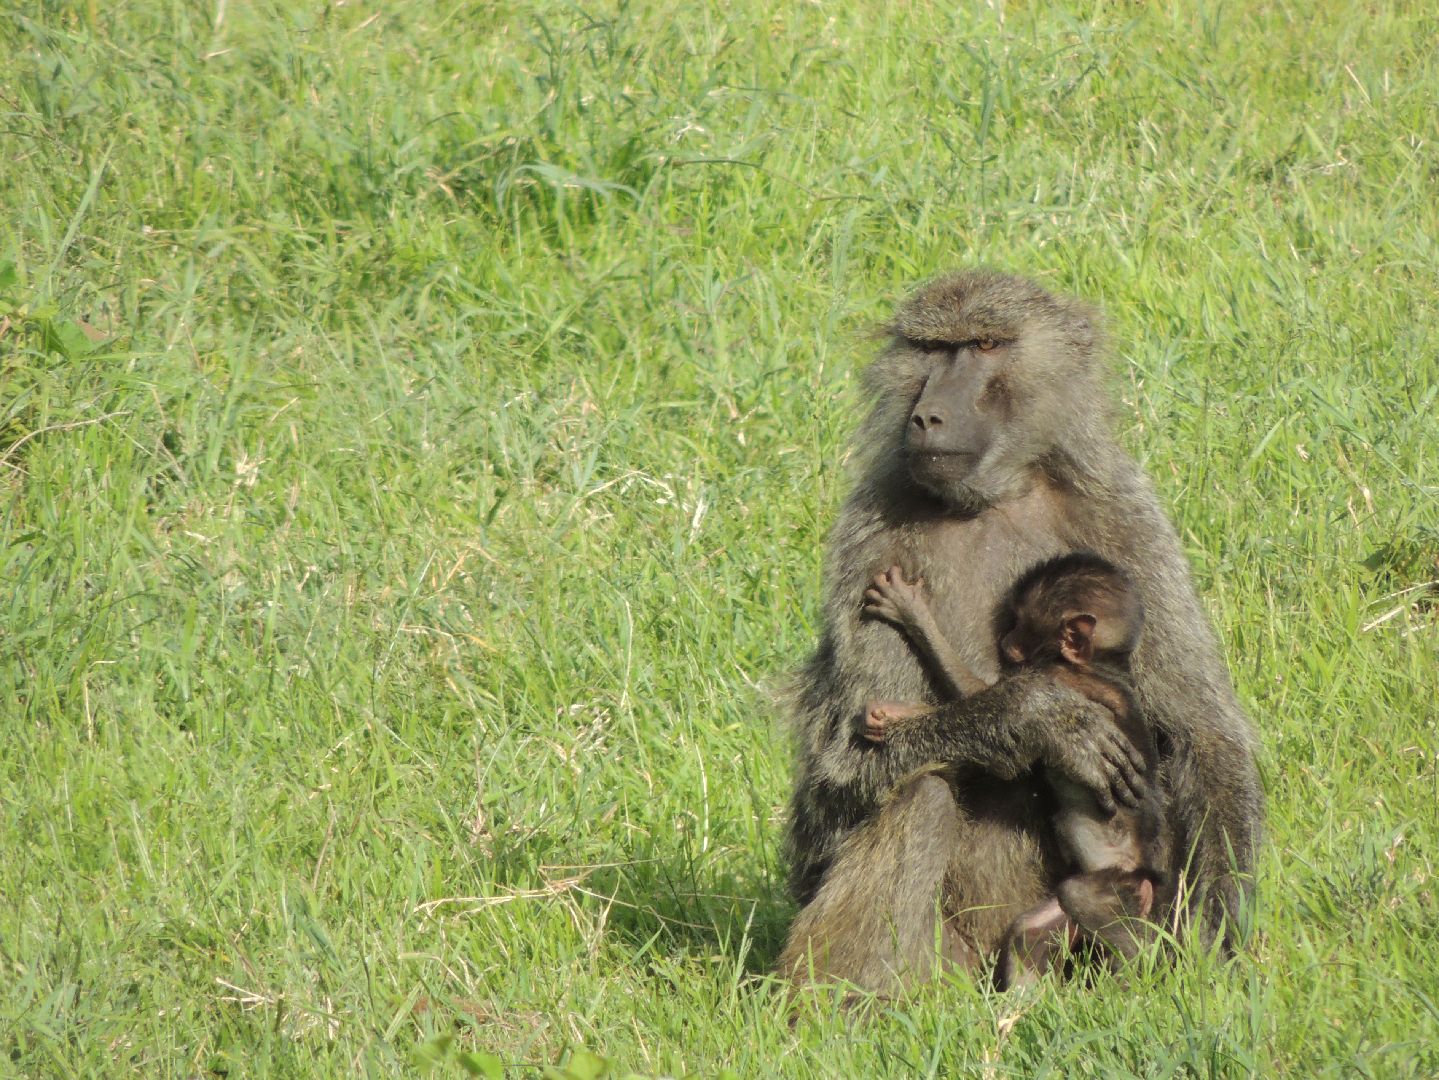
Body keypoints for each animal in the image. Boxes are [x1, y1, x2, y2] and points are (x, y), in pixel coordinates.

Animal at [859, 553, 1170, 988]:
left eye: (1021, 623)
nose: (1005, 641)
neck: (1103, 664)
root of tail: (1147, 877)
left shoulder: (1055, 674)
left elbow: (981, 692)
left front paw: (911, 612)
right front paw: (892, 716)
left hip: (1118, 884)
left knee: (1081, 897)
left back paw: (1134, 968)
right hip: (1075, 912)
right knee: (1031, 930)